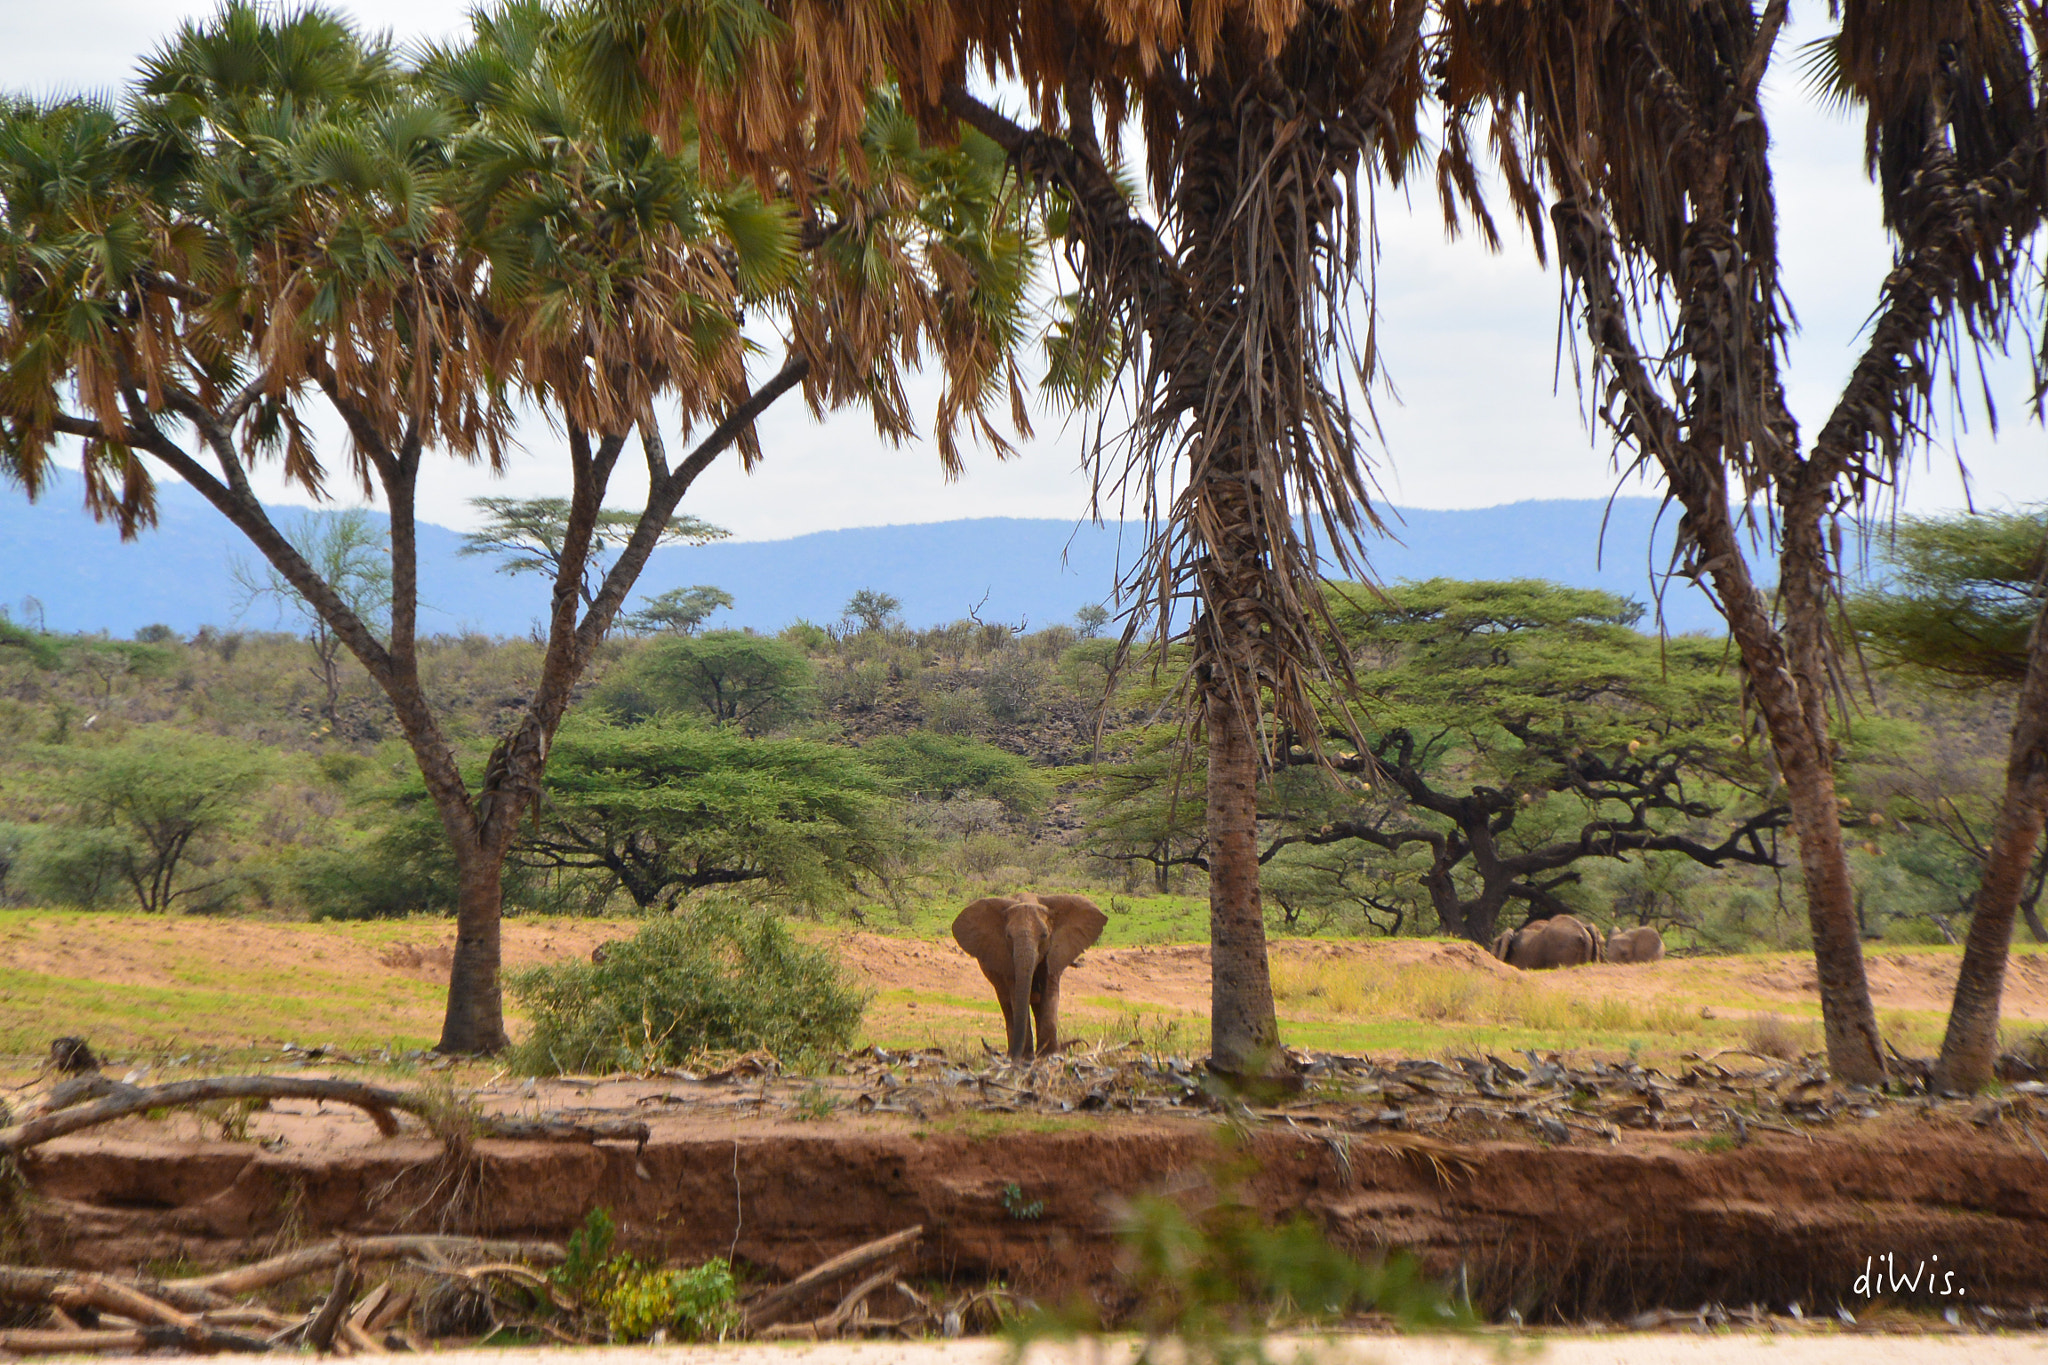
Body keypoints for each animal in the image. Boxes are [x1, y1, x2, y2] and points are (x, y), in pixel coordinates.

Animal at [954, 892, 1105, 1064]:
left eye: (1044, 935)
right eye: (1008, 936)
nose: (1016, 1054)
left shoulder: (1055, 951)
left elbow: (1049, 991)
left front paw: (1049, 1055)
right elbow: (1016, 993)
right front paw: (1027, 1057)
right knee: (1006, 1004)